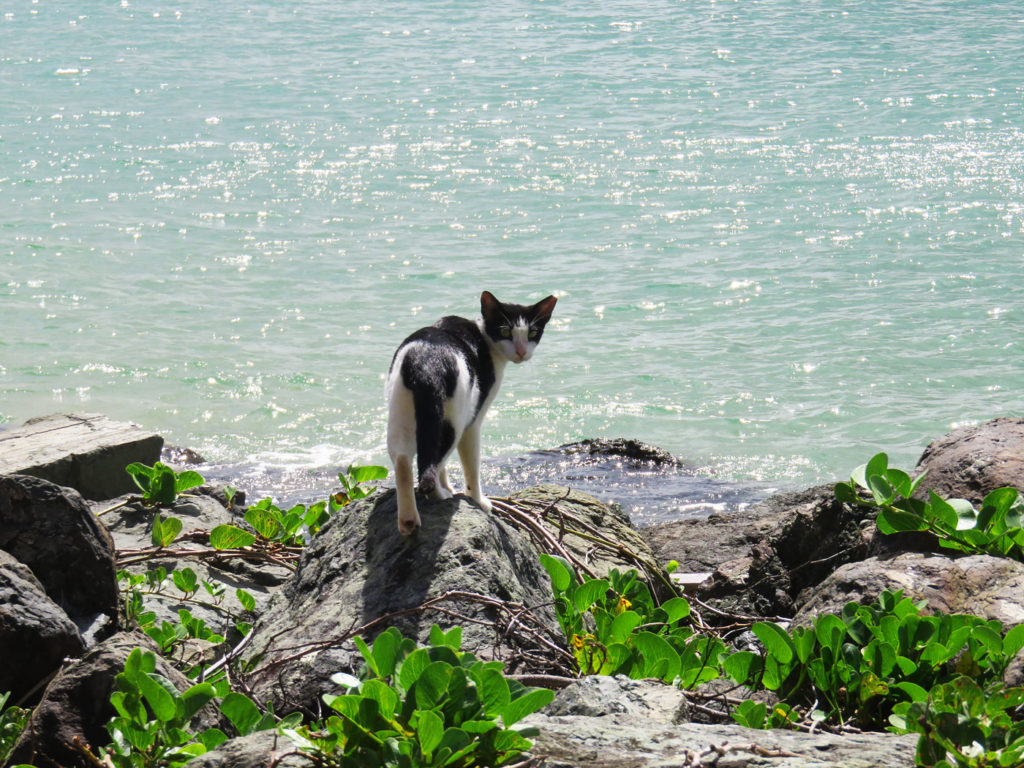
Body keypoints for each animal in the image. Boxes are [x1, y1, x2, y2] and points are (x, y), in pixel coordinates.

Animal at [385, 290, 561, 536]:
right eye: (505, 331)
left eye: (533, 333)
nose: (521, 351)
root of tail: (427, 362)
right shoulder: (474, 422)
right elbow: (472, 468)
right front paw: (478, 500)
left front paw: (448, 485)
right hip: (454, 421)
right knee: (431, 466)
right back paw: (438, 496)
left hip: (401, 413)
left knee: (404, 461)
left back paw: (409, 520)